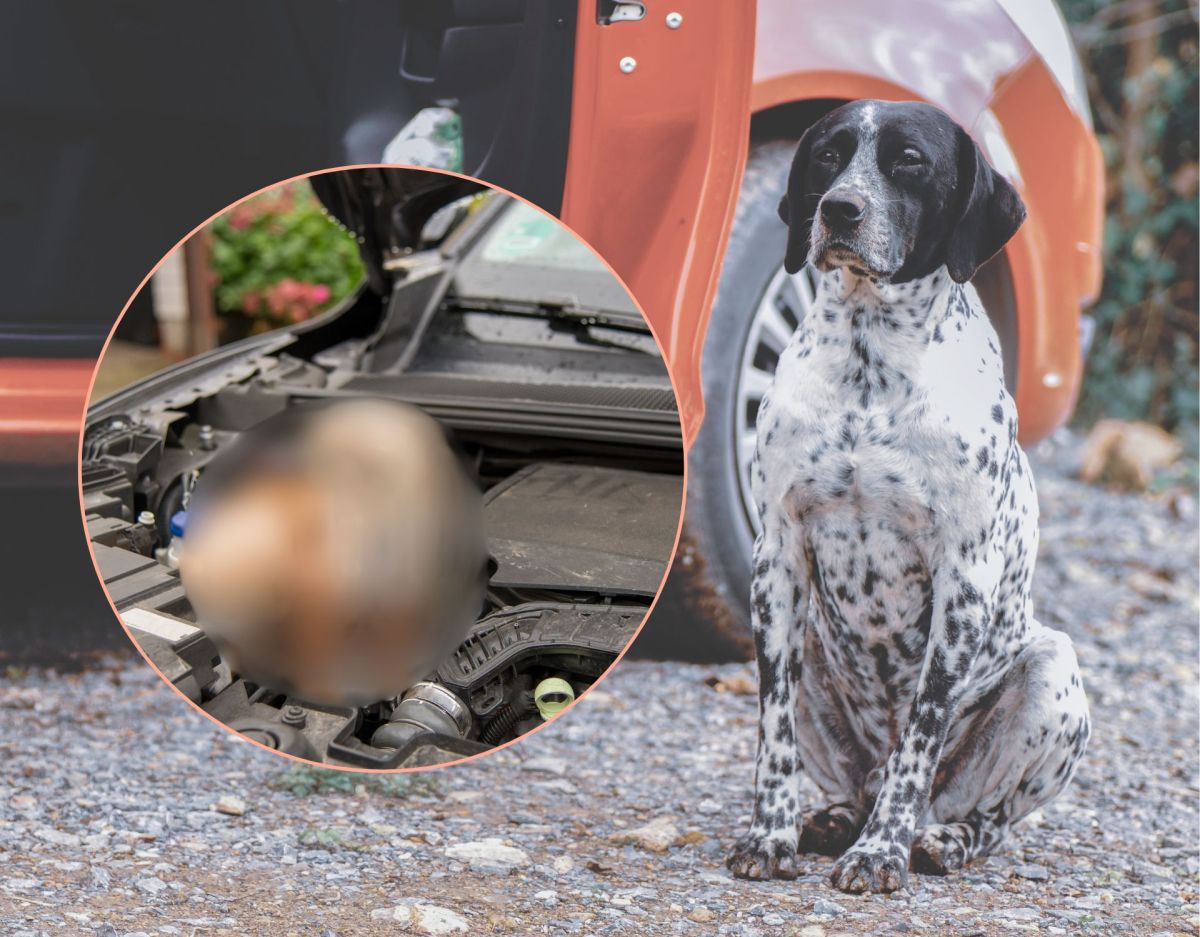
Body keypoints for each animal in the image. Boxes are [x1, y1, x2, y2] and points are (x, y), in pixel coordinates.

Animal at [724, 102, 1094, 892]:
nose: (840, 209)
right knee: (856, 780)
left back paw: (938, 838)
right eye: (828, 156)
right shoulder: (776, 560)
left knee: (983, 815)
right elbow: (774, 734)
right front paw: (770, 834)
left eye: (909, 162)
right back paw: (833, 819)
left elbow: (921, 733)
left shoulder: (964, 579)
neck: (869, 363)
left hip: (1054, 673)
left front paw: (880, 853)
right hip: (807, 642)